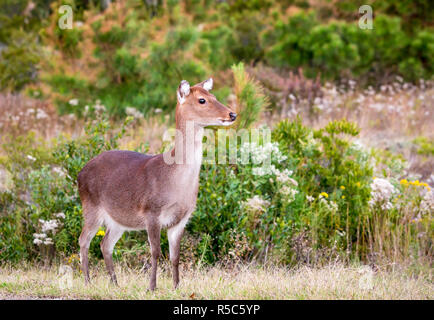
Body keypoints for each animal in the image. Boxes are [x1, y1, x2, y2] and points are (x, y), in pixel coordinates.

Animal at [76, 78, 236, 290]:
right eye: (202, 100)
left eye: (214, 96)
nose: (232, 114)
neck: (174, 182)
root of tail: (79, 173)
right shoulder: (151, 212)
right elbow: (156, 252)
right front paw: (151, 287)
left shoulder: (182, 219)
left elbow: (175, 256)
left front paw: (176, 287)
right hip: (91, 206)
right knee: (83, 240)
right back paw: (87, 282)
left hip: (118, 219)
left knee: (105, 244)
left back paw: (115, 284)